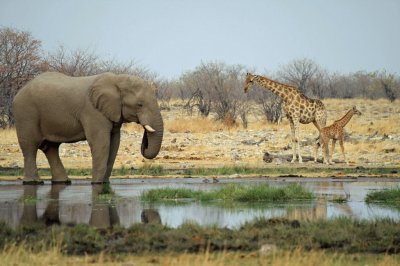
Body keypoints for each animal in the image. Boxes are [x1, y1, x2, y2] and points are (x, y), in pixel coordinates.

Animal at [12, 71, 162, 184]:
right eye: (139, 104)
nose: (145, 141)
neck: (117, 79)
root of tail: (20, 91)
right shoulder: (92, 111)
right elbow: (101, 143)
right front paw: (96, 183)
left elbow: (114, 143)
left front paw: (104, 183)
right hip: (26, 113)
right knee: (30, 147)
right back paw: (33, 182)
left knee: (51, 148)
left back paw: (63, 181)